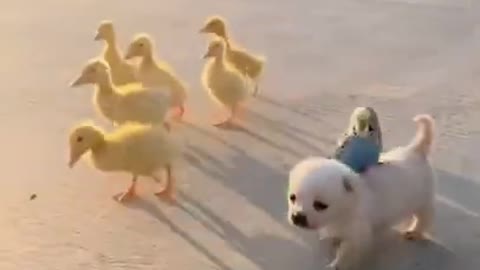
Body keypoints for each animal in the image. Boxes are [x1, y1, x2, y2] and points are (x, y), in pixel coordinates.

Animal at [286, 115, 436, 268]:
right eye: (292, 198)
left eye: (320, 205)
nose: (297, 217)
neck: (347, 208)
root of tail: (415, 150)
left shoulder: (356, 238)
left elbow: (345, 255)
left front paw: (335, 266)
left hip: (423, 200)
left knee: (424, 217)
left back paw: (414, 231)